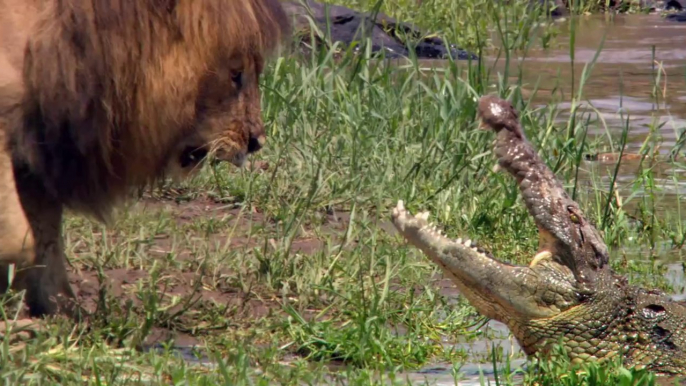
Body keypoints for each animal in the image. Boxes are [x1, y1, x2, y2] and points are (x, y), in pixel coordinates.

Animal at [0, 0, 292, 318]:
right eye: (235, 75)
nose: (256, 142)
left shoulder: (37, 152)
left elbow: (46, 237)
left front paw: (60, 313)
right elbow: (21, 241)